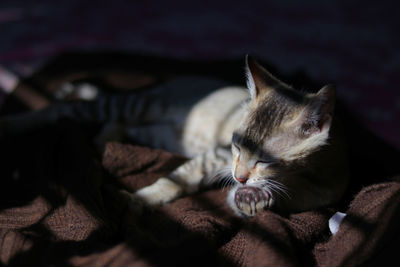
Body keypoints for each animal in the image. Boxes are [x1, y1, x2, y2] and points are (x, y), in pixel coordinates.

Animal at [0, 56, 348, 218]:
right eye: (236, 145)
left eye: (264, 159)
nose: (239, 177)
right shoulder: (219, 155)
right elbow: (176, 180)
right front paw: (139, 199)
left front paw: (255, 198)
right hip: (138, 104)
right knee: (65, 109)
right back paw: (13, 123)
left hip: (150, 130)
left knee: (115, 122)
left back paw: (102, 143)